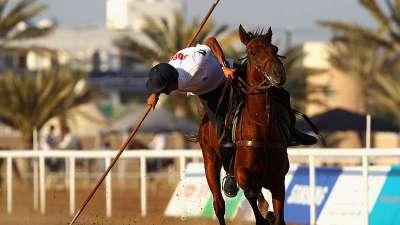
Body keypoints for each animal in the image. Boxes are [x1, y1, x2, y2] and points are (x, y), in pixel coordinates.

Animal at [200, 24, 290, 225]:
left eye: (275, 49)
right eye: (252, 52)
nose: (278, 74)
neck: (262, 129)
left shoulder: (278, 181)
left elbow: (278, 216)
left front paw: (269, 213)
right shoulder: (242, 175)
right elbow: (251, 195)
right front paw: (264, 213)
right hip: (210, 160)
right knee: (219, 205)